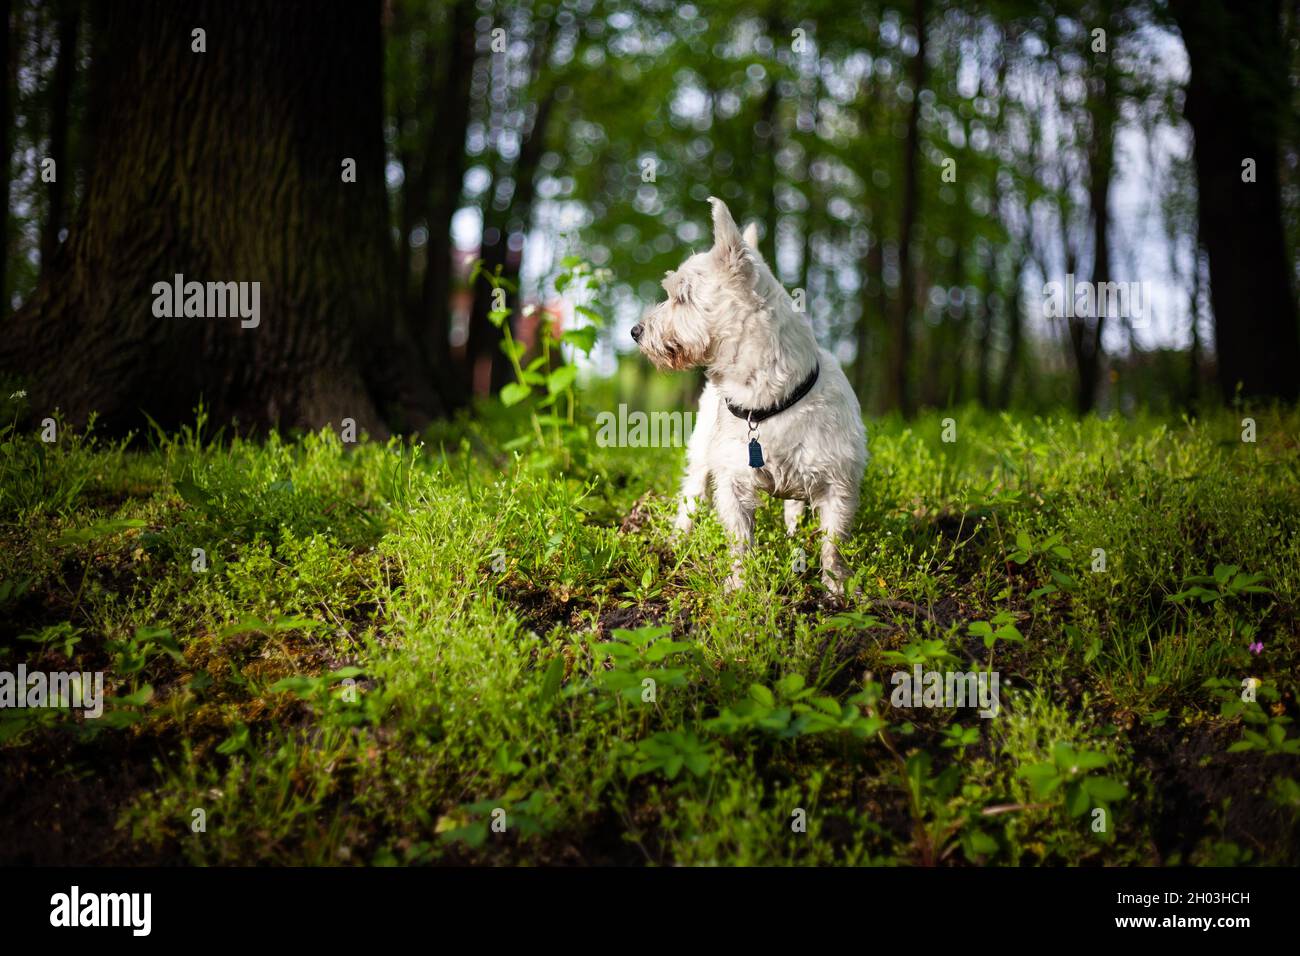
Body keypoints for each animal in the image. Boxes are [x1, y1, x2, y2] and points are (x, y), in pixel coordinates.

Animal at [631, 197, 868, 595]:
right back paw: (677, 541)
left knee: (793, 511)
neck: (766, 399)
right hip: (700, 453)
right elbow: (740, 540)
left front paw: (837, 588)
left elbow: (833, 543)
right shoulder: (732, 481)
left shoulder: (839, 483)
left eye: (681, 296)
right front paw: (740, 586)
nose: (636, 331)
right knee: (690, 497)